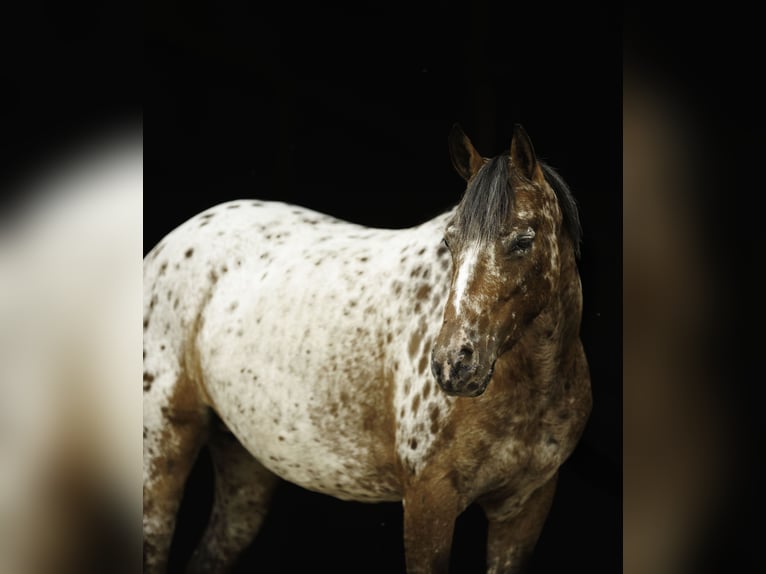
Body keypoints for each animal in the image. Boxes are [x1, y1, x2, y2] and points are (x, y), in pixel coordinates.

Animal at [143, 124, 592, 573]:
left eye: (523, 240)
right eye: (450, 242)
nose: (453, 364)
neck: (529, 386)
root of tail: (168, 246)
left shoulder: (525, 508)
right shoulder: (429, 502)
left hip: (242, 462)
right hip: (164, 448)